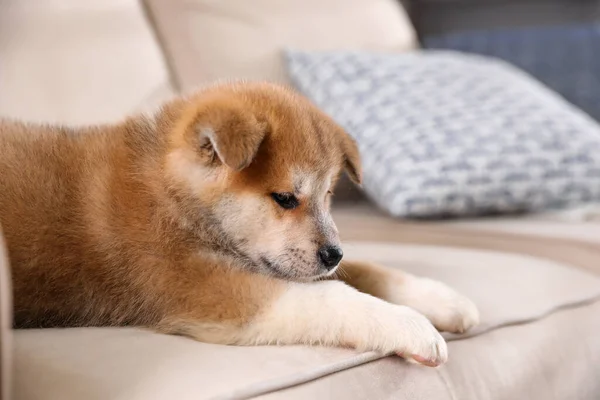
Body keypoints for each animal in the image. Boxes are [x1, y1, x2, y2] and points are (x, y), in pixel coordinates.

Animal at [0, 83, 478, 368]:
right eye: (284, 198)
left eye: (328, 196)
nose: (333, 253)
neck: (168, 194)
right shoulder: (207, 286)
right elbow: (330, 296)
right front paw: (409, 325)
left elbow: (368, 272)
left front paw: (440, 298)